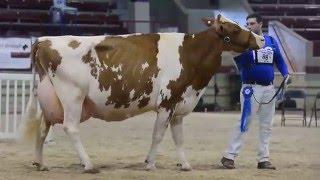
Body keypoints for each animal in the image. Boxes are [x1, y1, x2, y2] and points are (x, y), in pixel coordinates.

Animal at [20, 14, 264, 174]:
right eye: (234, 29)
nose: (261, 39)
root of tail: (45, 40)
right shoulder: (167, 102)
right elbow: (158, 135)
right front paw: (150, 164)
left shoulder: (179, 105)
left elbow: (179, 138)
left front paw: (185, 165)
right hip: (73, 96)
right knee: (70, 127)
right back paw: (88, 165)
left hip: (51, 100)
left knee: (43, 128)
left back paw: (40, 164)